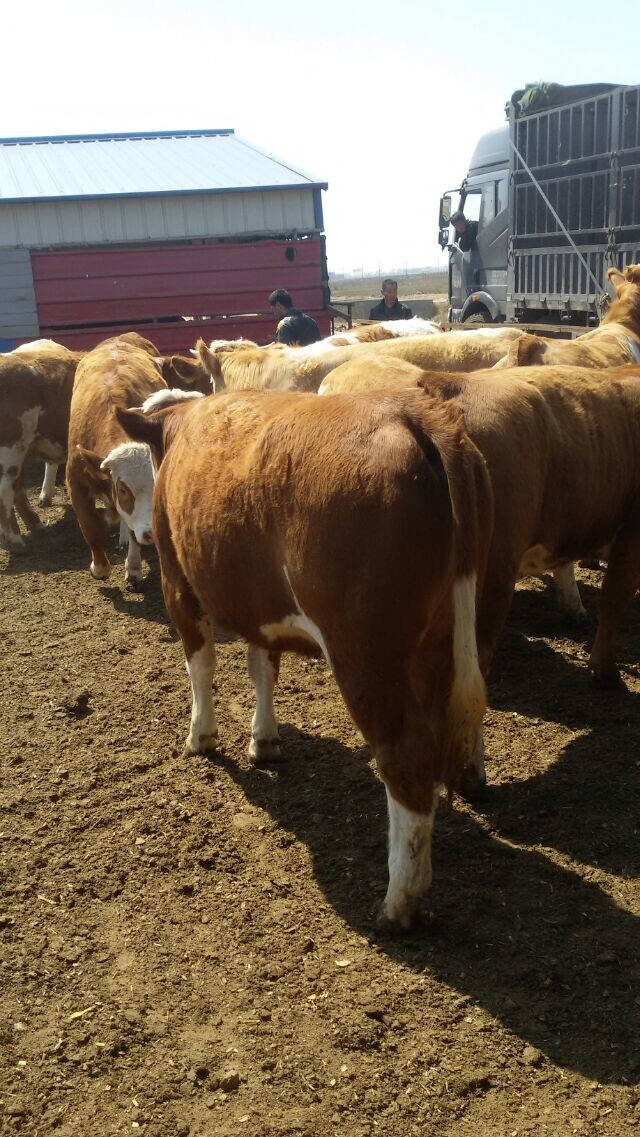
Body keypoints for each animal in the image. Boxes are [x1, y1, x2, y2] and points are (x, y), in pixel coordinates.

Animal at [65, 334, 168, 586]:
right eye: (122, 489)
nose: (152, 533)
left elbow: (132, 530)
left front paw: (133, 567)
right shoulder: (75, 480)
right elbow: (90, 527)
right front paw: (99, 567)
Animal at [116, 386, 495, 927]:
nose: (145, 531)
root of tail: (419, 419)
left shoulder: (178, 586)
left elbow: (201, 665)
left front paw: (201, 735)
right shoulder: (258, 604)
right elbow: (262, 668)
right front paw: (264, 739)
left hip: (366, 653)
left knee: (406, 755)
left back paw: (400, 899)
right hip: (455, 623)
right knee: (469, 701)